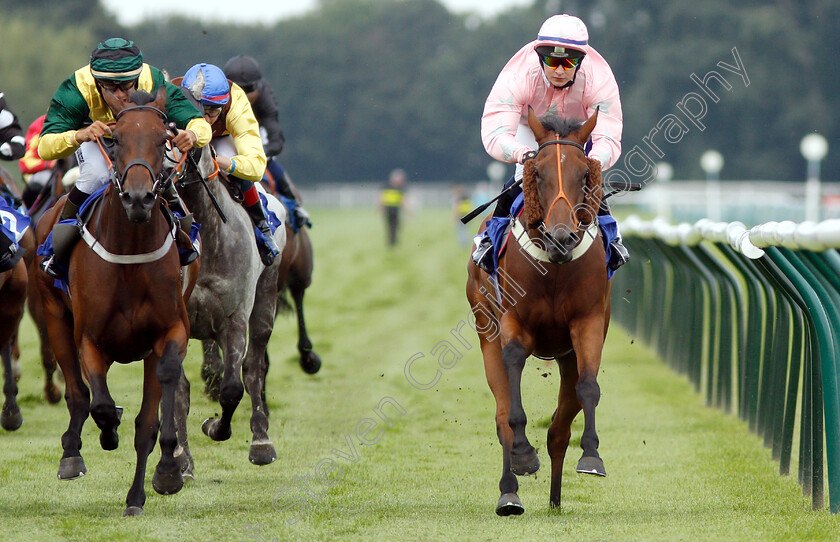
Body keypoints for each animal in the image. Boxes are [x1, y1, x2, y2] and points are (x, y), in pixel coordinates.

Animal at [34, 86, 199, 520]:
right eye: (114, 140)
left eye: (163, 140)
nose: (139, 198)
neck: (130, 253)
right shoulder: (90, 339)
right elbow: (101, 405)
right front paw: (107, 434)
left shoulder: (170, 331)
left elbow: (151, 418)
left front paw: (160, 478)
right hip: (54, 317)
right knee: (78, 394)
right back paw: (72, 454)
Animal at [466, 107, 612, 520]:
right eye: (539, 173)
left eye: (584, 174)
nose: (561, 236)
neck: (556, 265)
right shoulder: (514, 324)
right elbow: (513, 383)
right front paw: (523, 456)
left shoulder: (588, 323)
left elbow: (589, 387)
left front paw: (592, 456)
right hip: (486, 331)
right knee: (501, 417)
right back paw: (509, 493)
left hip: (566, 356)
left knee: (560, 427)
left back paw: (555, 500)